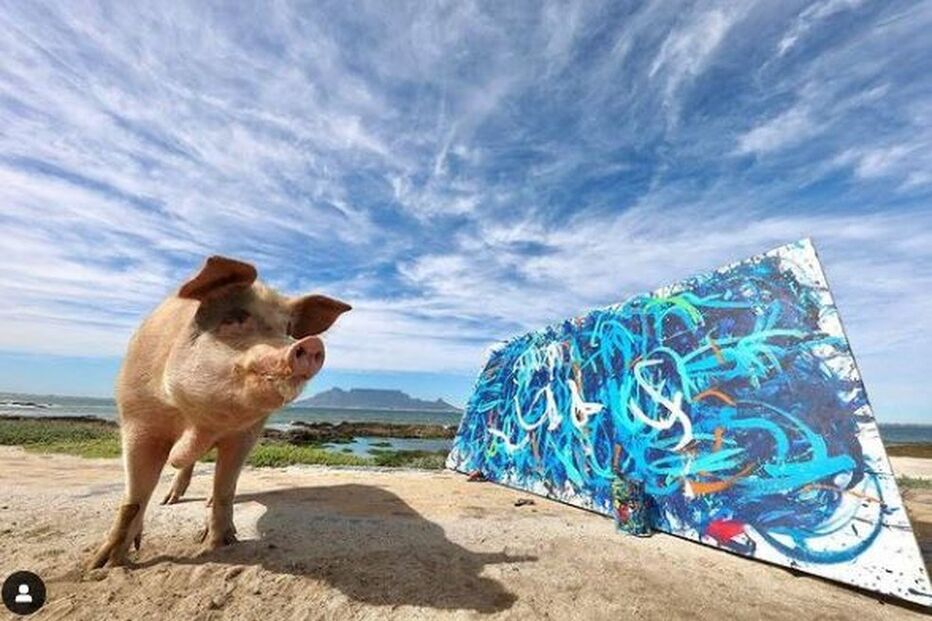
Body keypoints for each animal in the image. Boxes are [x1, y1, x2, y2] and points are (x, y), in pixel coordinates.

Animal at [90, 256, 350, 568]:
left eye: (287, 328)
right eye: (235, 317)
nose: (311, 343)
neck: (201, 422)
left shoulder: (246, 433)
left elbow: (226, 486)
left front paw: (221, 544)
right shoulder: (137, 417)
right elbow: (134, 496)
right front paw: (102, 565)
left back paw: (203, 502)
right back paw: (169, 501)